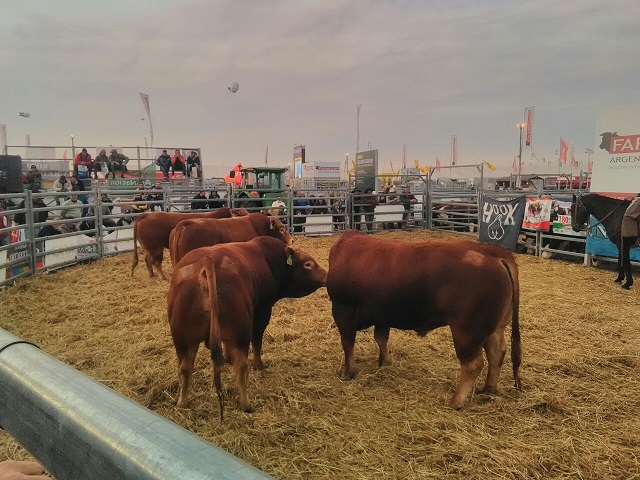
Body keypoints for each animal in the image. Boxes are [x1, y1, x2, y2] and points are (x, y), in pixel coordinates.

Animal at [168, 236, 328, 416]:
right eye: (308, 264)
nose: (326, 276)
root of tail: (207, 263)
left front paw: (227, 358)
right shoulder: (262, 311)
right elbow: (257, 341)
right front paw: (258, 365)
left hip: (183, 339)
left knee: (185, 367)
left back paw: (182, 402)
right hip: (240, 332)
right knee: (241, 365)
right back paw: (245, 403)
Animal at [324, 232, 520, 408]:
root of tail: (493, 252)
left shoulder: (343, 311)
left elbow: (348, 343)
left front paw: (348, 372)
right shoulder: (382, 314)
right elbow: (381, 339)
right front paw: (385, 362)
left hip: (467, 331)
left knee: (473, 364)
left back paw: (455, 401)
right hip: (495, 328)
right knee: (497, 352)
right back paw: (488, 389)